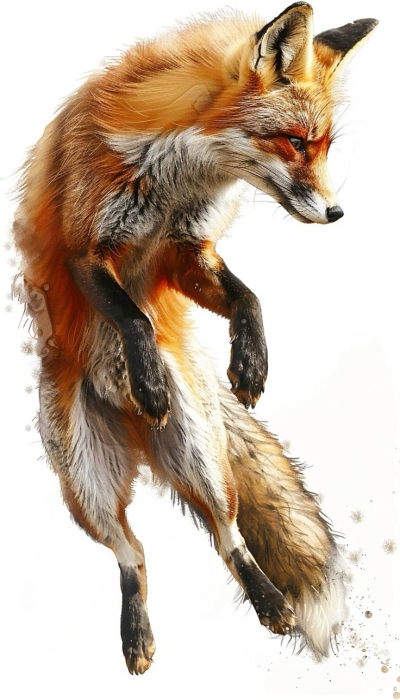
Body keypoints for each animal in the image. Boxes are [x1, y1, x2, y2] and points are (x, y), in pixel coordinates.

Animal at [13, 2, 377, 675]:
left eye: (324, 146)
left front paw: (252, 363)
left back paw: (270, 602)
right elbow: (134, 318)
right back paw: (137, 635)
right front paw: (149, 379)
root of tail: (136, 436)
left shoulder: (186, 251)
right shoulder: (85, 249)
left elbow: (248, 299)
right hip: (83, 482)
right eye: (294, 142)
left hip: (200, 454)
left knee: (226, 535)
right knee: (132, 554)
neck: (175, 178)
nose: (338, 214)